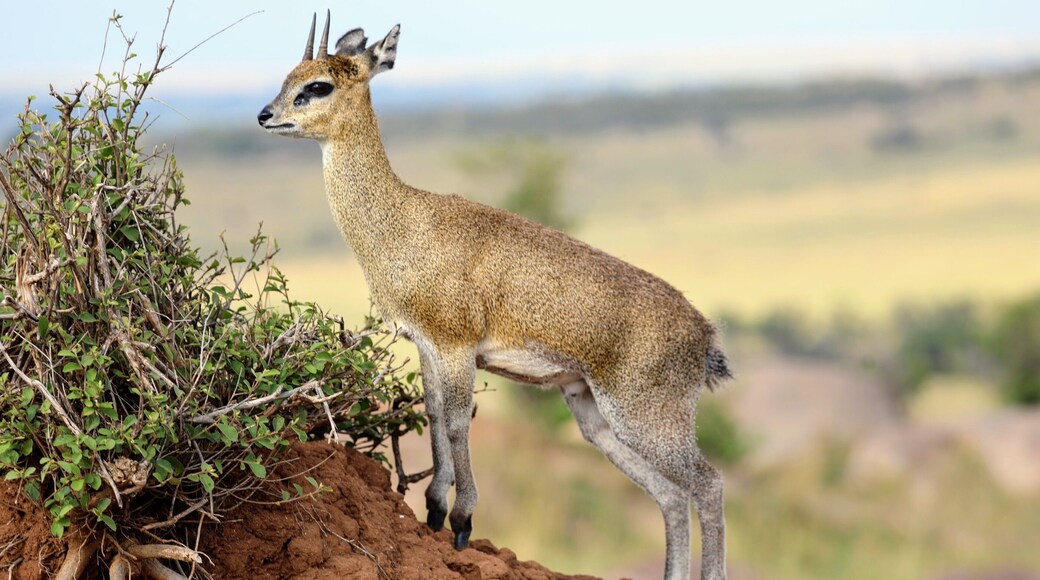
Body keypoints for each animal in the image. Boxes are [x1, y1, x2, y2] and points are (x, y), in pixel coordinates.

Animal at [257, 12, 732, 580]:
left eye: (318, 85)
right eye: (289, 75)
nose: (264, 115)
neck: (406, 222)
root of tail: (704, 336)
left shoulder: (458, 346)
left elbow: (458, 422)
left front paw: (462, 519)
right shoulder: (428, 346)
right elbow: (435, 415)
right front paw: (435, 510)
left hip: (647, 417)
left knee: (709, 484)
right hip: (595, 418)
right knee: (672, 497)